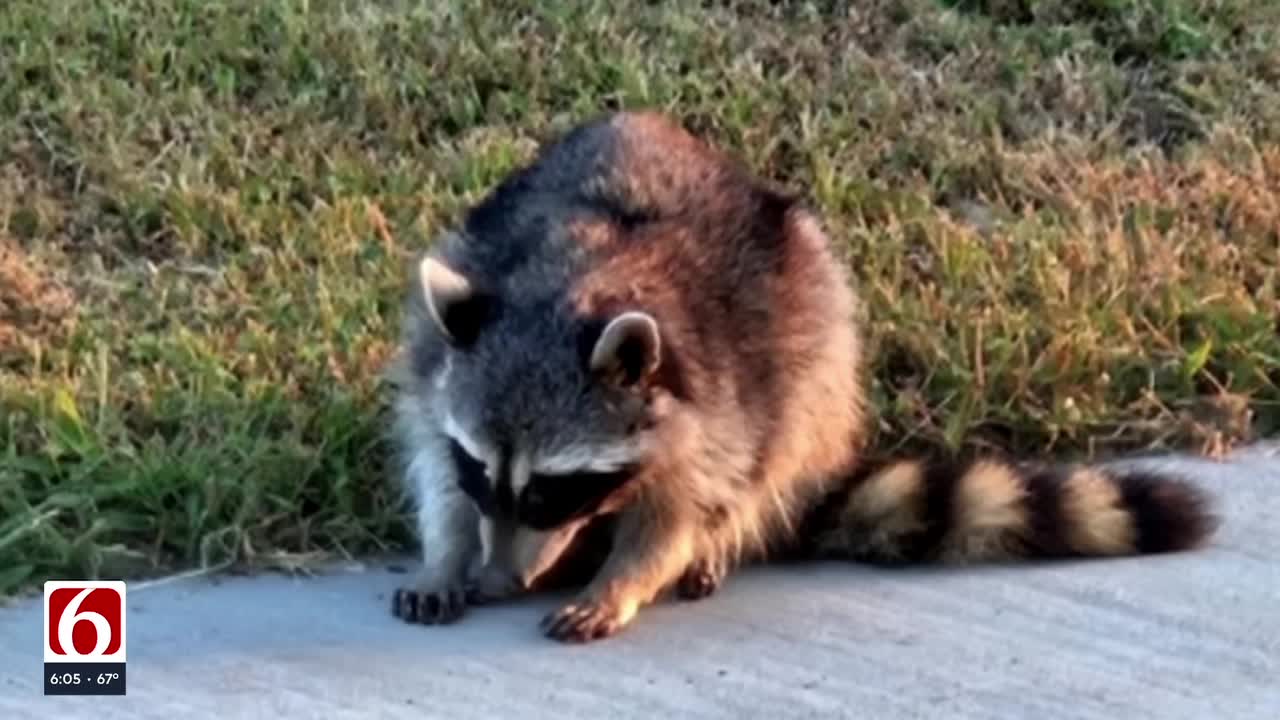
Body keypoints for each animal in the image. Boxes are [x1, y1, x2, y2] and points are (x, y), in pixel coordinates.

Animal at [387, 111, 1218, 642]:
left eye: (552, 491)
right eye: (483, 473)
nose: (503, 578)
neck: (573, 288)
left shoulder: (717, 405)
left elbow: (679, 512)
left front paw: (625, 579)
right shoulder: (440, 361)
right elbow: (435, 464)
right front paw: (449, 552)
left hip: (813, 313)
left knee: (791, 425)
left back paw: (720, 541)